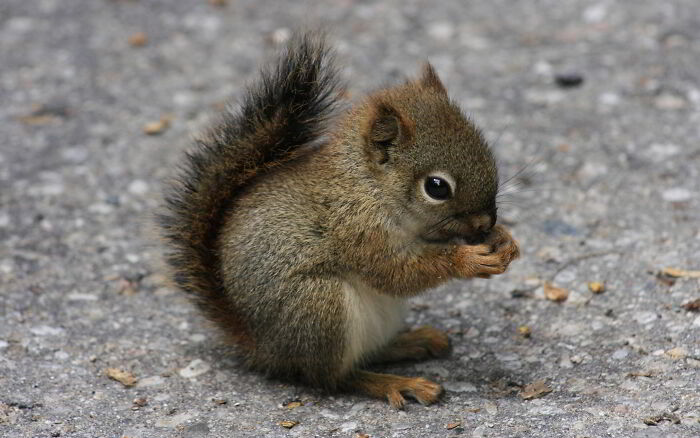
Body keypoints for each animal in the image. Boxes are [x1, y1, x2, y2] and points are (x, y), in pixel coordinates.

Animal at [159, 33, 520, 408]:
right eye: (436, 187)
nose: (485, 222)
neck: (368, 185)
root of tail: (263, 347)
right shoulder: (356, 229)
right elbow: (395, 272)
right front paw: (467, 260)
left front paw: (504, 240)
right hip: (319, 307)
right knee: (333, 377)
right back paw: (394, 383)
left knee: (368, 354)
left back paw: (412, 342)